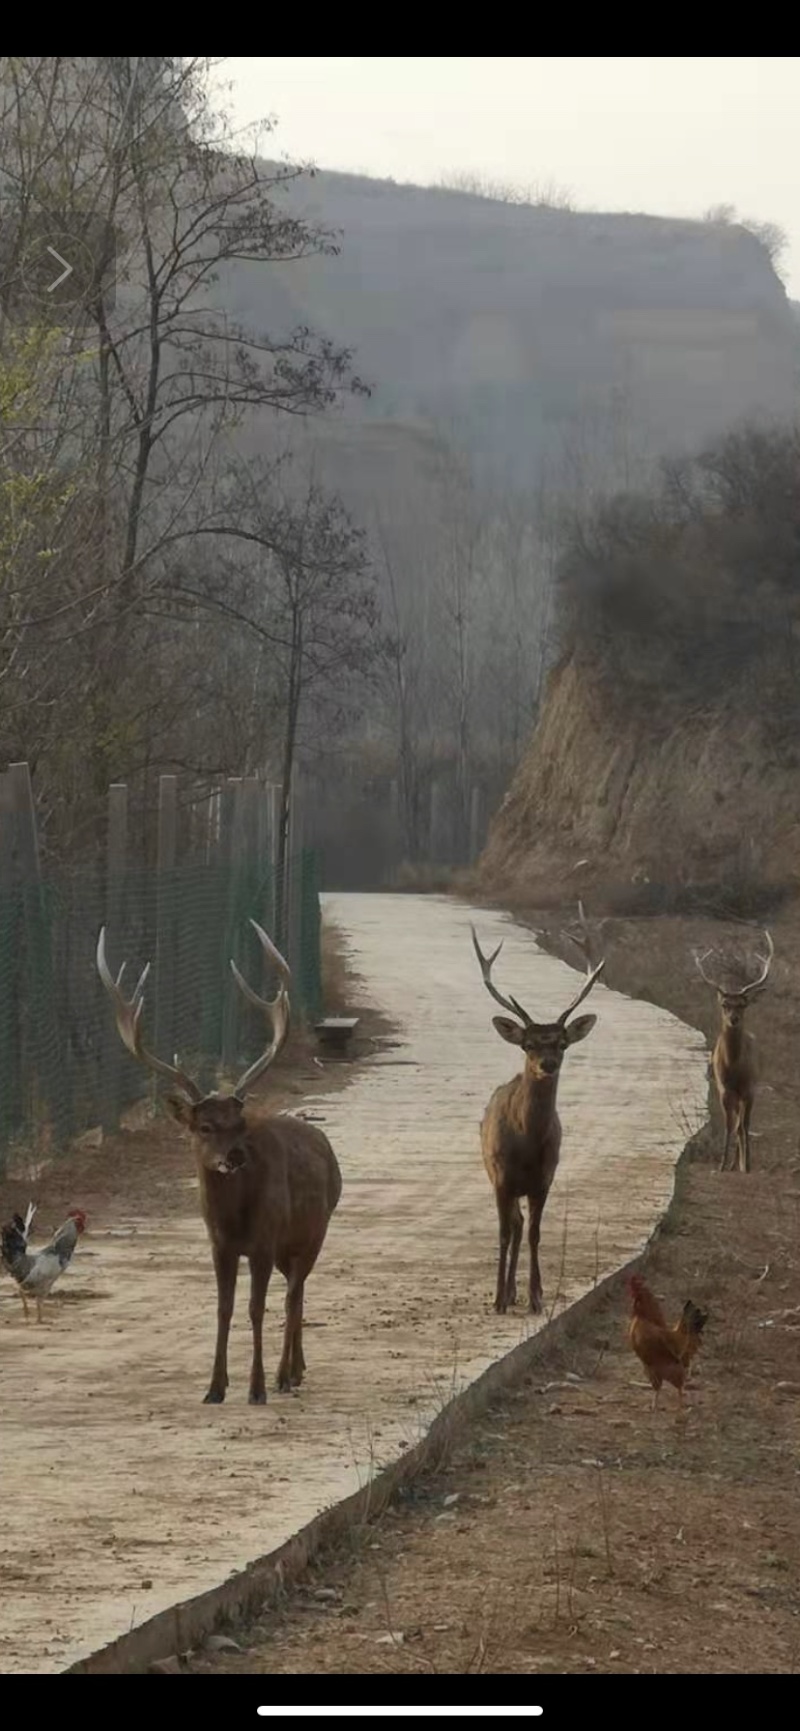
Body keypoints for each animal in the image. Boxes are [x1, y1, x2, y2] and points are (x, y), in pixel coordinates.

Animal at [96, 919, 342, 1405]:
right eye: (204, 1126)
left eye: (239, 1124)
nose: (233, 1157)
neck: (234, 1218)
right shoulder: (219, 1244)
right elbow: (224, 1309)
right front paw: (214, 1387)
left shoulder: (263, 1241)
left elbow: (255, 1308)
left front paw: (257, 1388)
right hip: (290, 1245)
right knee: (298, 1291)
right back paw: (297, 1369)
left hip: (314, 1230)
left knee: (294, 1293)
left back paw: (285, 1375)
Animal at [470, 902, 605, 1315]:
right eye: (528, 1044)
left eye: (562, 1042)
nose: (548, 1063)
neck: (526, 1144)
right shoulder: (500, 1176)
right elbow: (502, 1234)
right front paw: (498, 1299)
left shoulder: (544, 1178)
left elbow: (534, 1233)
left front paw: (534, 1297)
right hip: (495, 1175)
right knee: (511, 1226)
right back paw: (505, 1292)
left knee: (521, 1226)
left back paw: (522, 1291)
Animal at [693, 928, 774, 1173]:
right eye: (724, 1005)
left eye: (743, 1004)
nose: (734, 1019)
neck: (733, 1068)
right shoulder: (723, 1088)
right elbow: (730, 1125)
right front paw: (722, 1165)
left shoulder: (749, 1088)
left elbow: (744, 1126)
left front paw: (746, 1165)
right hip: (734, 1095)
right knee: (736, 1123)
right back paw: (732, 1163)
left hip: (748, 1090)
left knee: (743, 1124)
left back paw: (742, 1162)